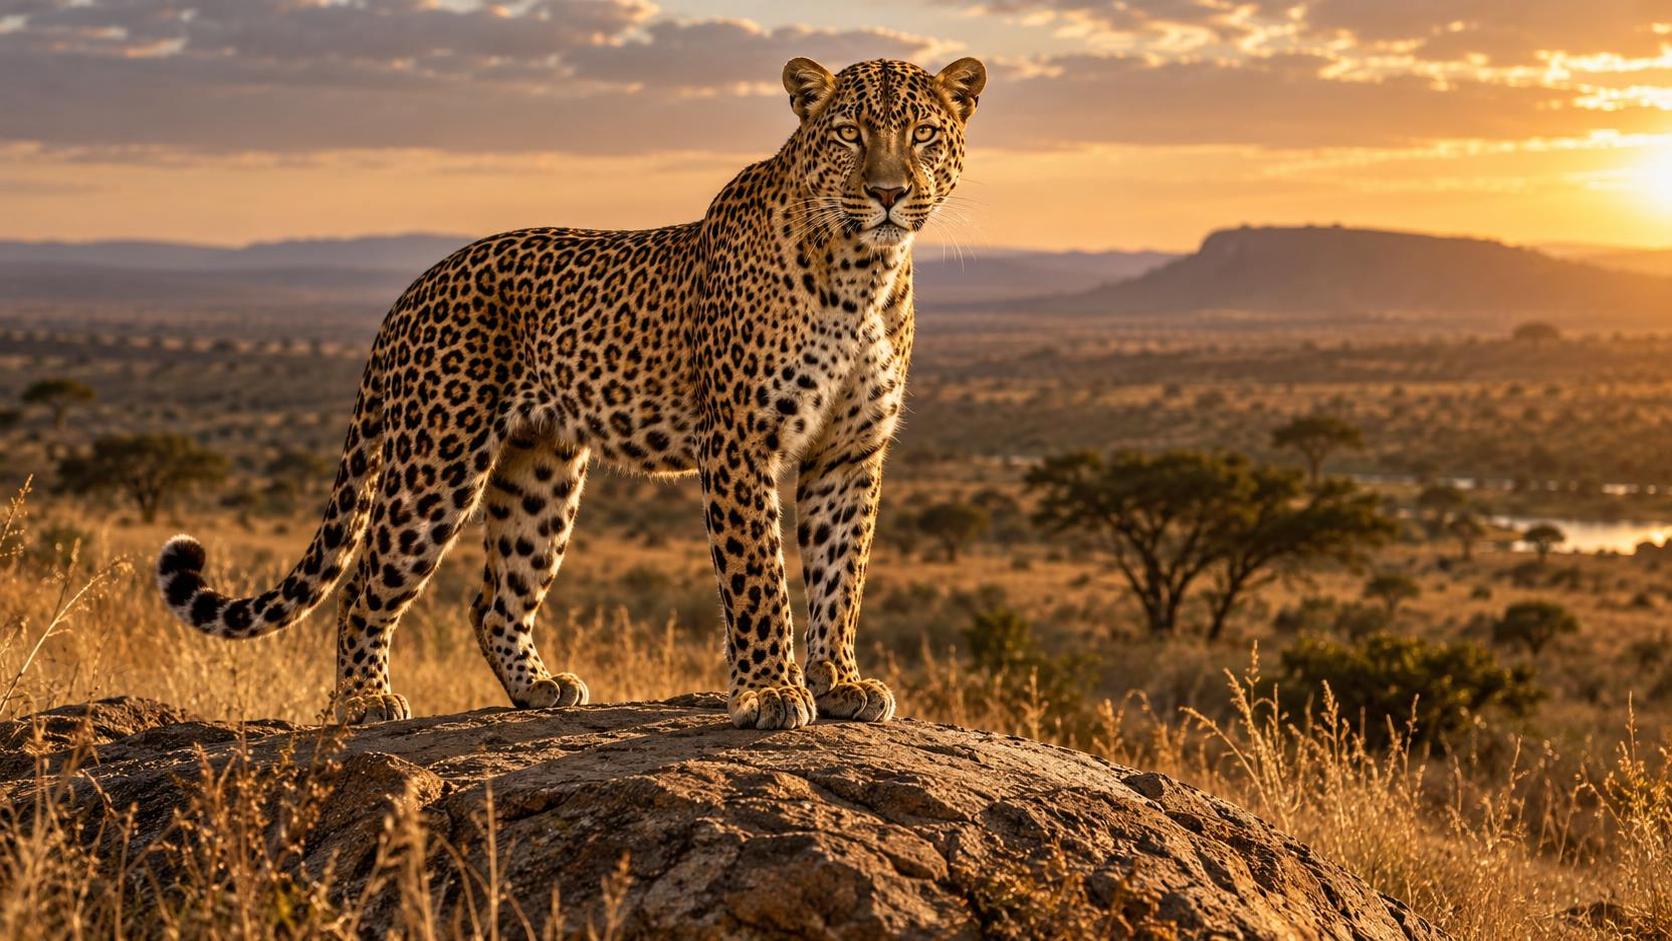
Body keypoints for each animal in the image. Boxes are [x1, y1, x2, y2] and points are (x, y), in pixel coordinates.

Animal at [154, 55, 986, 731]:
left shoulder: (847, 454)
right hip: (436, 461)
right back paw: (364, 701)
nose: (887, 193)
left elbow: (841, 574)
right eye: (848, 133)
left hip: (541, 471)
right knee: (365, 582)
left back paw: (537, 687)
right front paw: (772, 691)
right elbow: (759, 579)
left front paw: (841, 681)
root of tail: (414, 288)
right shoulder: (740, 445)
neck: (863, 272)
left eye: (922, 134)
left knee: (494, 596)